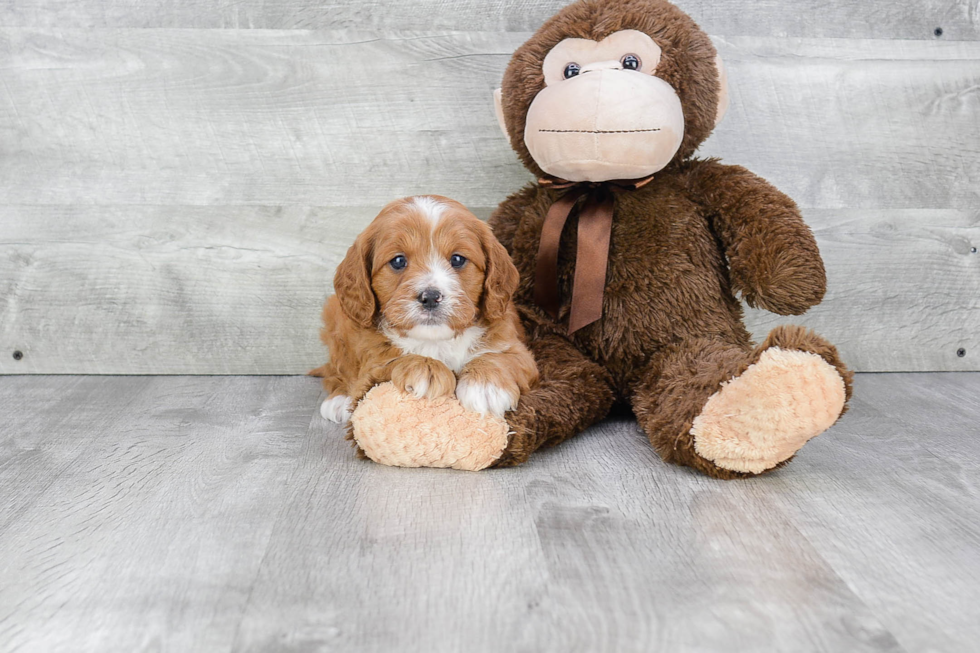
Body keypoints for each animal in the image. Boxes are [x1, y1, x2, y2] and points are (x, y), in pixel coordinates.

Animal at [318, 195, 540, 422]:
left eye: (457, 259)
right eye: (398, 261)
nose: (431, 297)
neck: (436, 341)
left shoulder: (518, 351)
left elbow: (502, 358)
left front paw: (484, 386)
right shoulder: (370, 365)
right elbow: (388, 363)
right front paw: (425, 369)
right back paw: (338, 400)